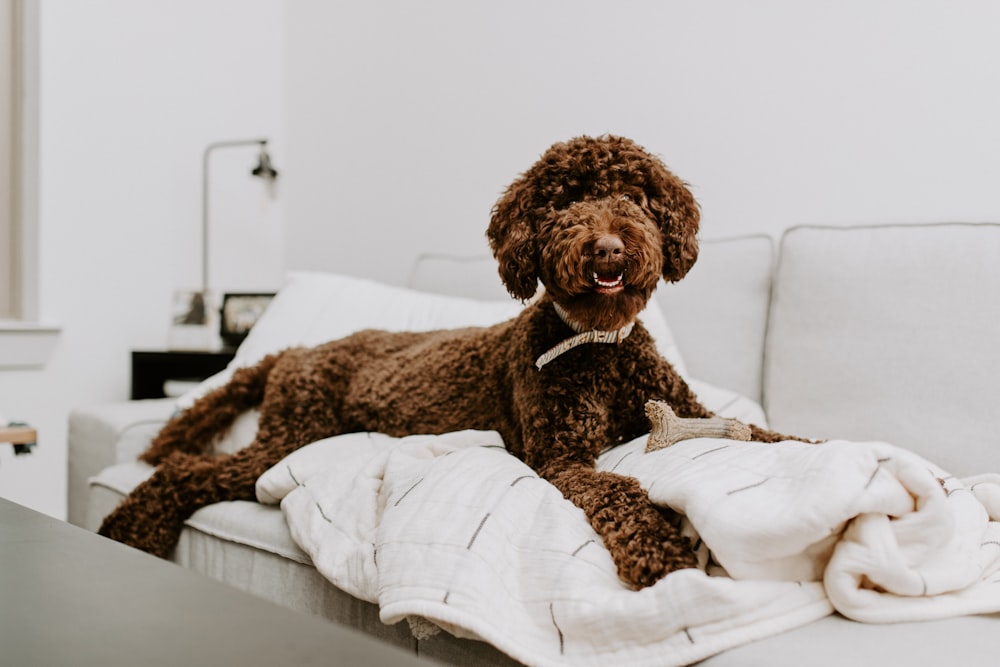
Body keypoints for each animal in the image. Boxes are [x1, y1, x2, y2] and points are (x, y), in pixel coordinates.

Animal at [99, 136, 788, 588]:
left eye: (634, 195)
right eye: (563, 202)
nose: (609, 249)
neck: (597, 345)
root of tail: (294, 351)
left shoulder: (690, 408)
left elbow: (775, 436)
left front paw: (804, 443)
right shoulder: (561, 458)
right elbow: (619, 492)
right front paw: (662, 552)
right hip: (291, 434)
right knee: (185, 468)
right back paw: (128, 529)